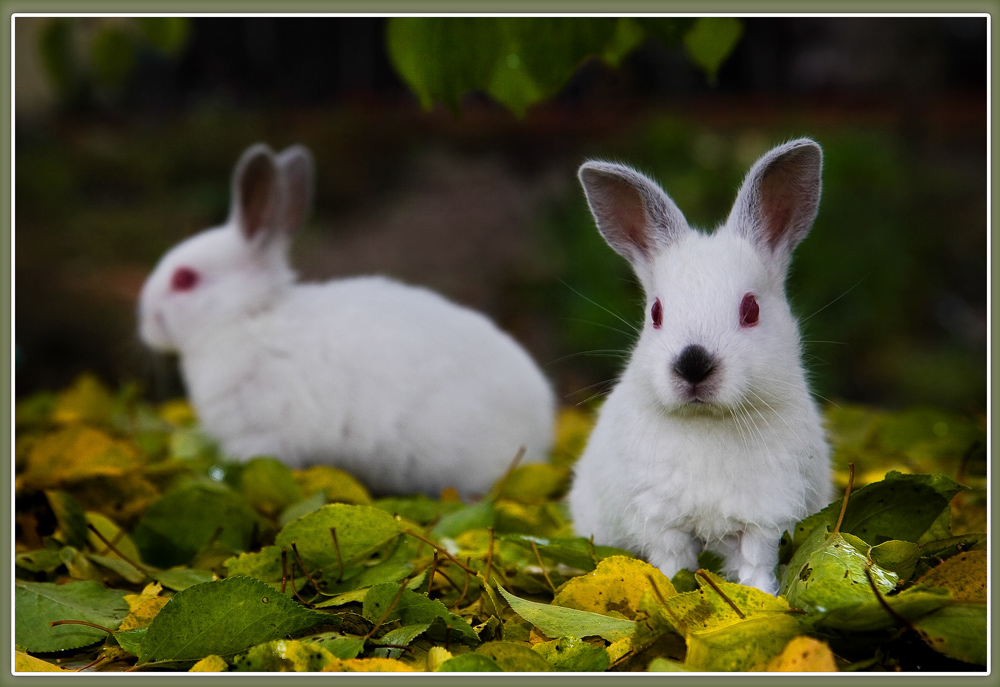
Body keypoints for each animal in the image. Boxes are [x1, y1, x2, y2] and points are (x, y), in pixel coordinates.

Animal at [568, 137, 832, 592]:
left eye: (750, 310)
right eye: (655, 312)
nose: (693, 365)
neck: (708, 421)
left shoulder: (763, 518)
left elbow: (756, 562)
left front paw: (760, 596)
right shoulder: (661, 521)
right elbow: (672, 563)